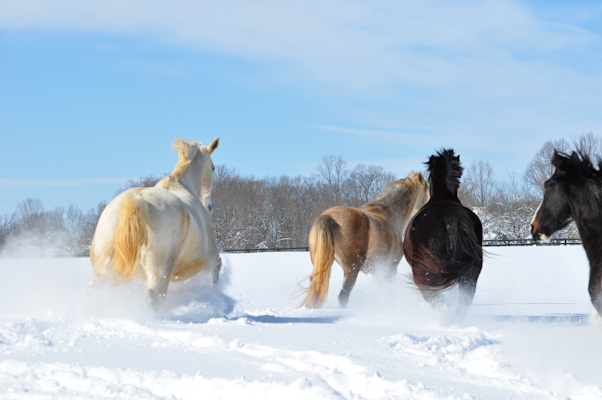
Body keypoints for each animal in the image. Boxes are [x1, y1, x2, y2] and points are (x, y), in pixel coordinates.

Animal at [89, 138, 220, 310]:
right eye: (213, 167)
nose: (210, 206)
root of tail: (135, 201)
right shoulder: (209, 258)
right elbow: (216, 273)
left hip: (107, 268)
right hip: (159, 271)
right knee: (155, 299)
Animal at [298, 170, 428, 308]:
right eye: (427, 187)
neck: (390, 215)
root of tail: (329, 217)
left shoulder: (377, 271)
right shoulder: (390, 268)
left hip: (320, 265)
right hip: (352, 269)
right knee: (343, 296)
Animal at [400, 148, 480, 320]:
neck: (444, 195)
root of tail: (452, 212)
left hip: (426, 272)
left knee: (436, 301)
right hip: (470, 274)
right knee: (463, 302)